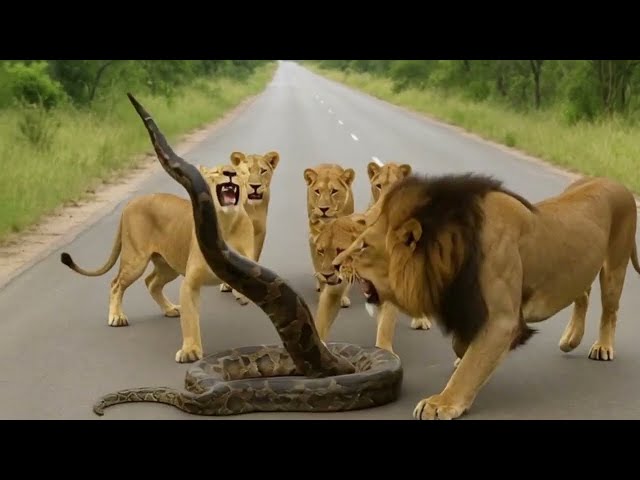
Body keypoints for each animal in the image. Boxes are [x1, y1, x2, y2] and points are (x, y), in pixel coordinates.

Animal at [60, 163, 255, 363]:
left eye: (238, 172)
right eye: (216, 171)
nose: (230, 173)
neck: (226, 223)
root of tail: (132, 202)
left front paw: (240, 295)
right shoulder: (190, 283)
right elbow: (190, 321)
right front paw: (190, 351)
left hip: (169, 266)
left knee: (151, 282)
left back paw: (170, 309)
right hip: (136, 260)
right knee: (116, 284)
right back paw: (117, 317)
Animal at [217, 151, 280, 294]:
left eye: (263, 171)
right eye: (246, 171)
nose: (255, 186)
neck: (251, 206)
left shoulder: (259, 230)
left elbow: (254, 256)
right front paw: (228, 283)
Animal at [332, 173, 640, 420]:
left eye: (363, 246)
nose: (335, 265)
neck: (451, 256)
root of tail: (617, 183)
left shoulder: (502, 319)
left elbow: (471, 366)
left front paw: (441, 403)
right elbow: (464, 348)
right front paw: (462, 356)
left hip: (614, 268)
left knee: (609, 310)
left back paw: (602, 347)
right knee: (582, 293)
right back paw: (570, 339)